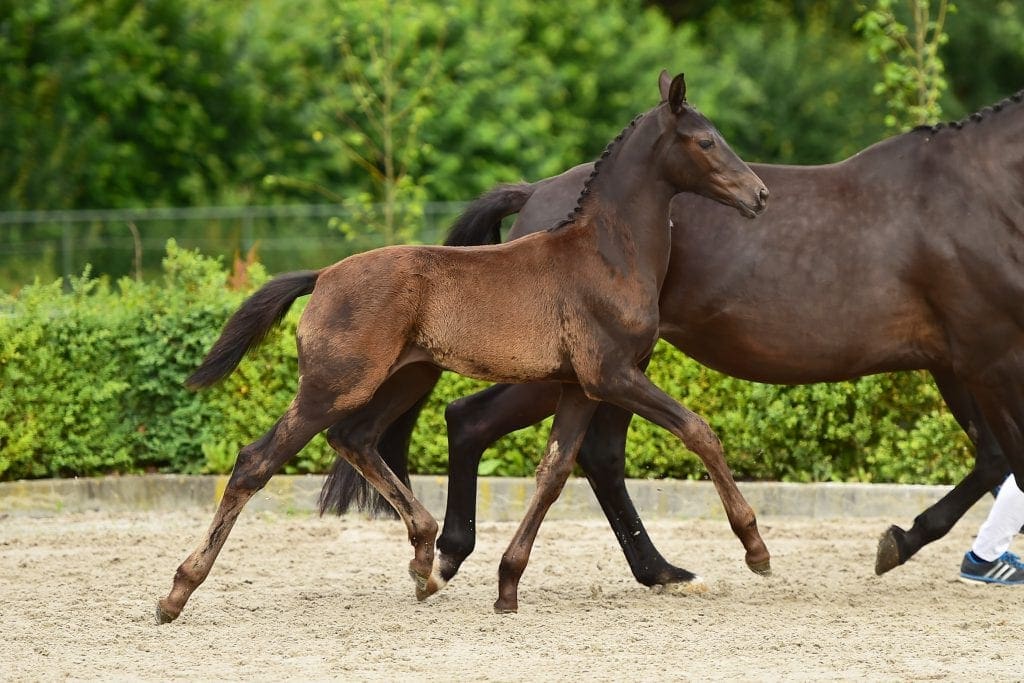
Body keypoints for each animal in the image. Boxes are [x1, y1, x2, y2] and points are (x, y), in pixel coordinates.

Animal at [156, 72, 770, 622]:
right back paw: (176, 594)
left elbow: (553, 473)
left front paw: (507, 587)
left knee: (354, 438)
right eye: (706, 140)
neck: (605, 255)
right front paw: (755, 549)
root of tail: (324, 275)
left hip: (405, 378)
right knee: (255, 462)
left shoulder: (578, 386)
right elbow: (698, 430)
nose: (760, 196)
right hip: (334, 384)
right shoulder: (613, 374)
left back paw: (425, 558)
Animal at [327, 85, 1024, 592]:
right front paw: (910, 546)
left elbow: (995, 459)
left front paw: (907, 543)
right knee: (476, 421)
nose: (758, 197)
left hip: (605, 371)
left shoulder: (959, 362)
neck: (979, 196)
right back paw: (456, 553)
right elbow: (1010, 460)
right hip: (574, 372)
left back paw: (650, 569)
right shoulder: (987, 358)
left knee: (583, 452)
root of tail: (538, 195)